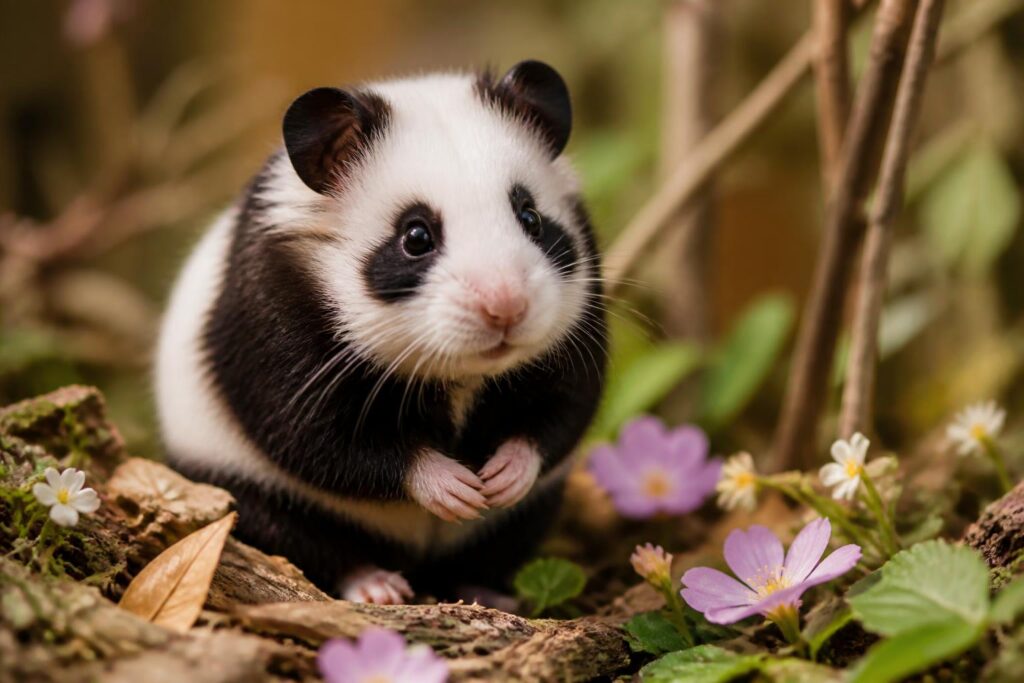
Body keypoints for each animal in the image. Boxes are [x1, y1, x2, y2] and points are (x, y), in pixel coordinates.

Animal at [154, 61, 607, 603]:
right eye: (415, 236)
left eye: (531, 217)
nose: (506, 309)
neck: (463, 375)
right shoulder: (278, 349)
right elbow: (334, 443)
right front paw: (456, 488)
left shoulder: (582, 337)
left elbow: (561, 414)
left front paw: (500, 479)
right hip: (249, 494)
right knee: (316, 545)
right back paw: (380, 587)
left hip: (527, 519)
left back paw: (486, 590)